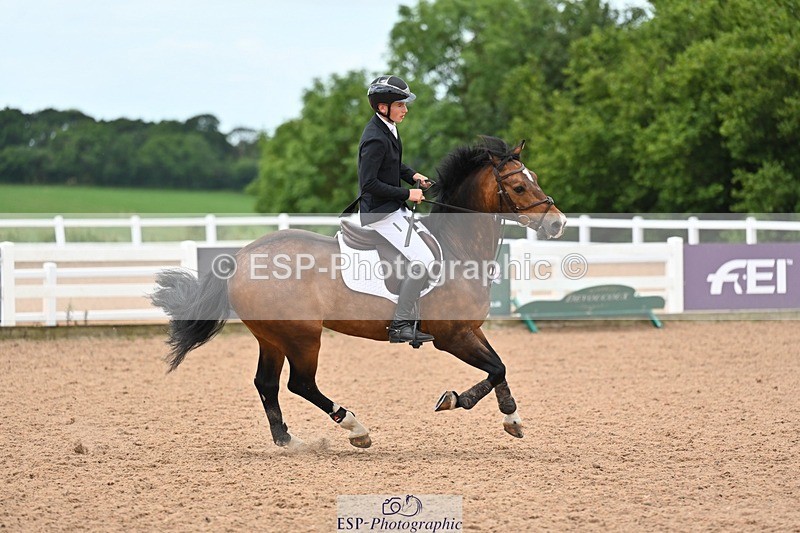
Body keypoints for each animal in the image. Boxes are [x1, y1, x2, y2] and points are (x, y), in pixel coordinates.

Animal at [150, 136, 566, 449]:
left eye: (535, 178)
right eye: (518, 186)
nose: (558, 224)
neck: (456, 248)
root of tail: (242, 257)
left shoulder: (470, 329)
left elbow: (499, 366)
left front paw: (511, 417)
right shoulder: (451, 336)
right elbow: (496, 367)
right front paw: (454, 400)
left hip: (272, 337)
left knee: (267, 384)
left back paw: (289, 441)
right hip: (302, 336)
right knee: (301, 384)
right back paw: (355, 427)